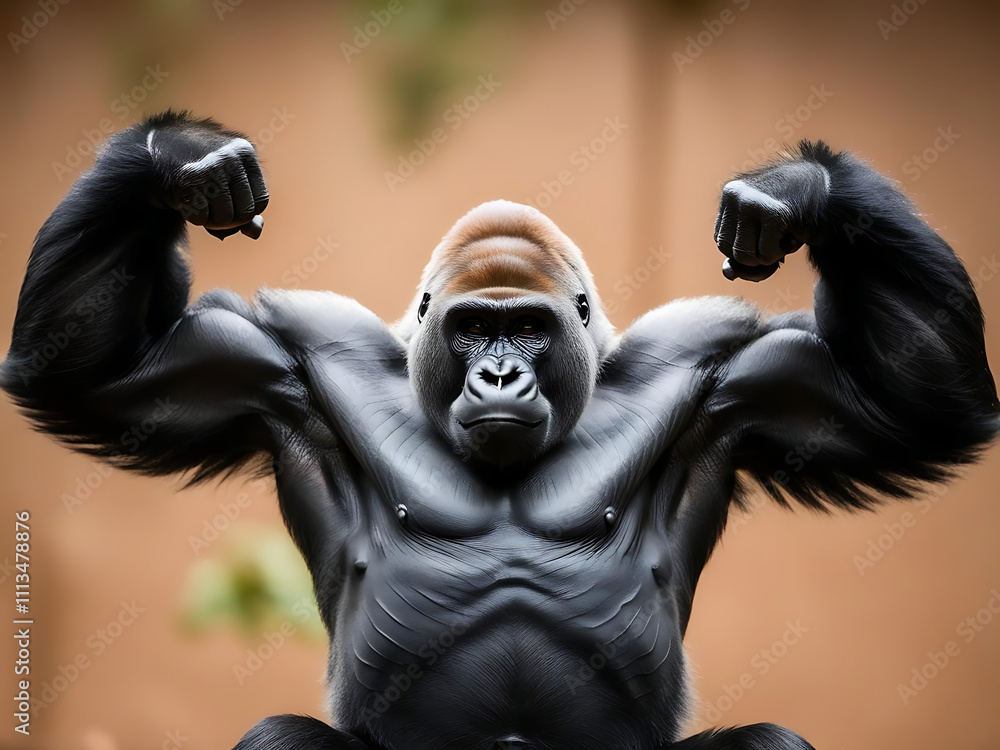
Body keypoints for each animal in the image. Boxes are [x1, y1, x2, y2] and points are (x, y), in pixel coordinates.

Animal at [2, 110, 996, 749]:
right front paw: (187, 157)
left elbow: (917, 397)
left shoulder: (733, 371)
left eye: (528, 329)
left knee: (770, 745)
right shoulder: (282, 361)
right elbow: (97, 369)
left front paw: (793, 191)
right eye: (476, 327)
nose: (500, 374)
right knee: (281, 738)